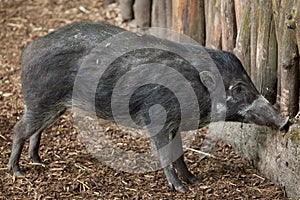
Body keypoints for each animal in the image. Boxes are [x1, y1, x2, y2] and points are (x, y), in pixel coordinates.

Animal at [8, 21, 288, 192]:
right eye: (238, 88)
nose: (286, 121)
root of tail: (28, 50)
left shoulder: (174, 124)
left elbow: (179, 154)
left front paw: (195, 180)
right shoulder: (158, 119)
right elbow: (164, 153)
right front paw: (182, 189)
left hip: (55, 106)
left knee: (37, 130)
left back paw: (38, 161)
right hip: (40, 99)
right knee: (19, 128)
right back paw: (18, 171)